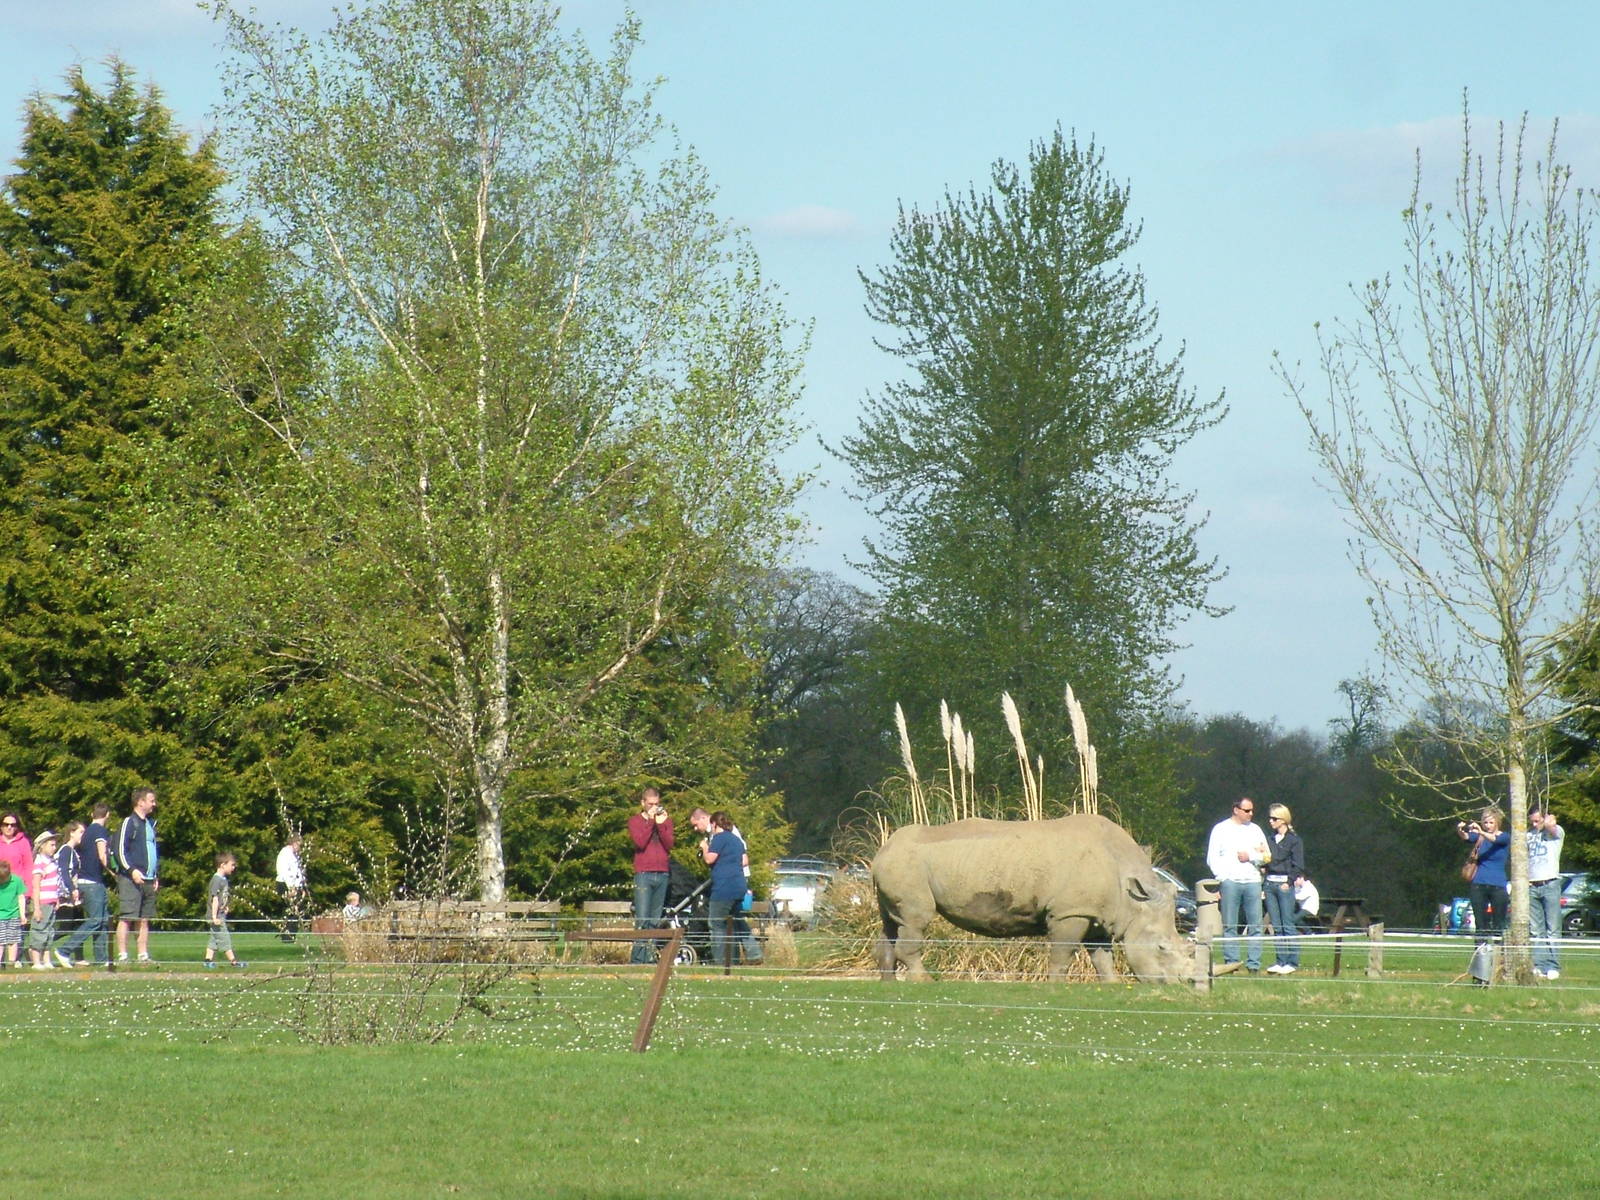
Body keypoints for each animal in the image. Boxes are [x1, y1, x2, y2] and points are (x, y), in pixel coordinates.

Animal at [871, 814, 1192, 983]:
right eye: (1162, 947)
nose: (1183, 983)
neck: (1132, 898)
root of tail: (882, 851)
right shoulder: (1070, 912)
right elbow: (1063, 952)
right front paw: (1057, 986)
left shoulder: (1096, 913)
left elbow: (1102, 956)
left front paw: (1111, 985)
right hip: (908, 866)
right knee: (916, 919)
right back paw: (924, 981)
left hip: (898, 866)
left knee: (891, 923)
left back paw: (888, 984)